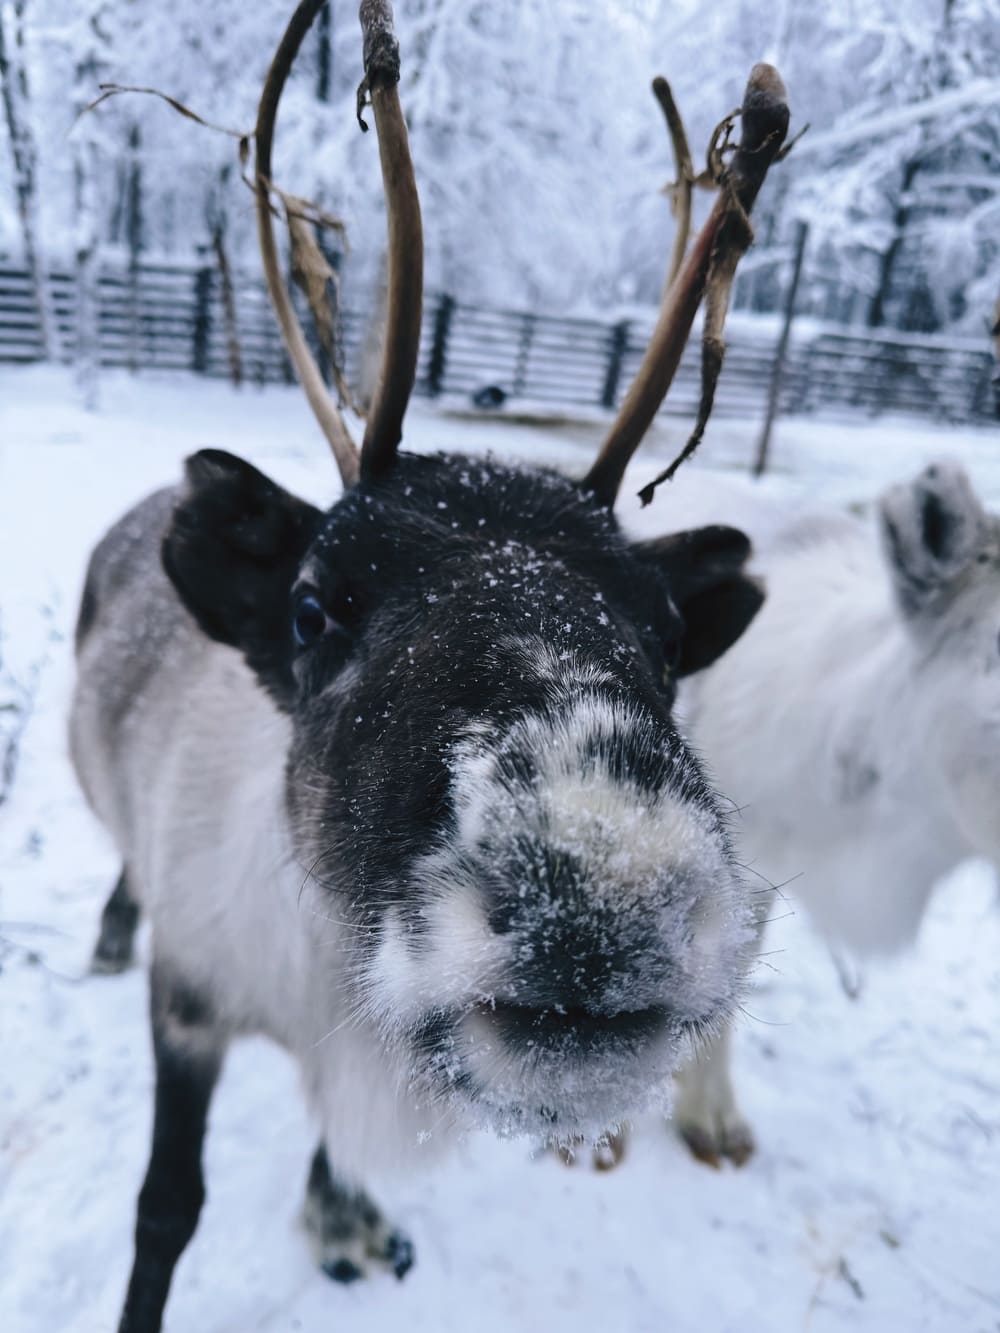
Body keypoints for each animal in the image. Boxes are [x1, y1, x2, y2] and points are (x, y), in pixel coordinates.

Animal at [69, 3, 790, 1328]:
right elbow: (165, 1211)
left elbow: (333, 1148)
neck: (322, 980)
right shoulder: (186, 1001)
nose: (602, 896)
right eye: (311, 607)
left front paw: (341, 1218)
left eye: (668, 634)